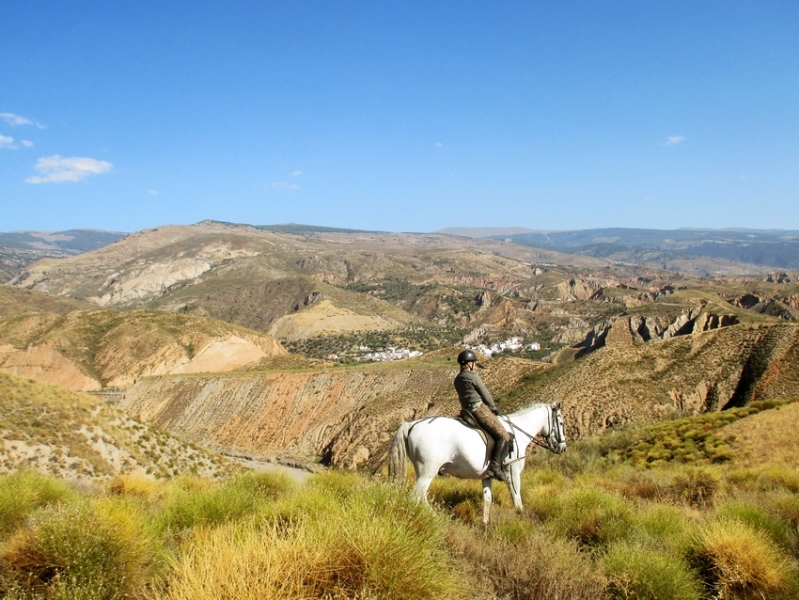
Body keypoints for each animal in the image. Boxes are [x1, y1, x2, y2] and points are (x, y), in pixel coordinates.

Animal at [390, 404, 568, 524]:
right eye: (561, 423)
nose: (563, 447)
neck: (518, 433)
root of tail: (413, 424)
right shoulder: (513, 473)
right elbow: (517, 499)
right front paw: (521, 517)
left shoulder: (486, 476)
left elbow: (487, 499)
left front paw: (485, 523)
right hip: (427, 472)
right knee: (415, 498)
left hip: (424, 473)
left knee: (421, 497)